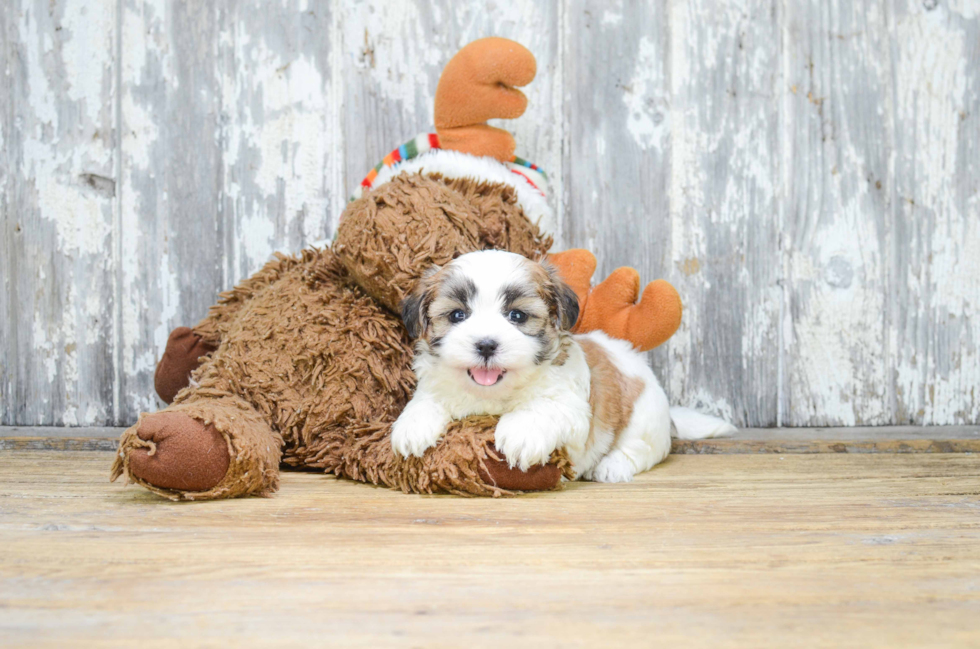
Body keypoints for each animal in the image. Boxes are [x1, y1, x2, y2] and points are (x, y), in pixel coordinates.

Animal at [390, 248, 736, 480]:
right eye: (457, 315)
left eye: (517, 316)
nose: (486, 344)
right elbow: (427, 400)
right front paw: (411, 427)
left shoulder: (570, 406)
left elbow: (540, 408)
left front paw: (520, 433)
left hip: (644, 416)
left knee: (640, 448)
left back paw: (612, 466)